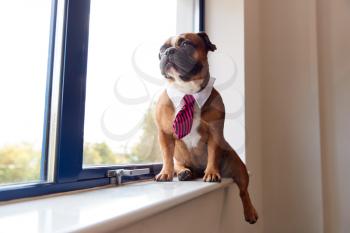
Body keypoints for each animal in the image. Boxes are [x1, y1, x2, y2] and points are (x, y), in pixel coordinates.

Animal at [154, 31, 258, 223]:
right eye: (162, 50)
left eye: (186, 44)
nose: (169, 52)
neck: (187, 91)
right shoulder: (164, 134)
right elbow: (166, 156)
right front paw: (165, 173)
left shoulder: (215, 133)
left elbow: (213, 154)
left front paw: (211, 172)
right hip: (181, 159)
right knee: (178, 163)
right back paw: (183, 172)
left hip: (239, 168)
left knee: (243, 191)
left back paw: (250, 212)